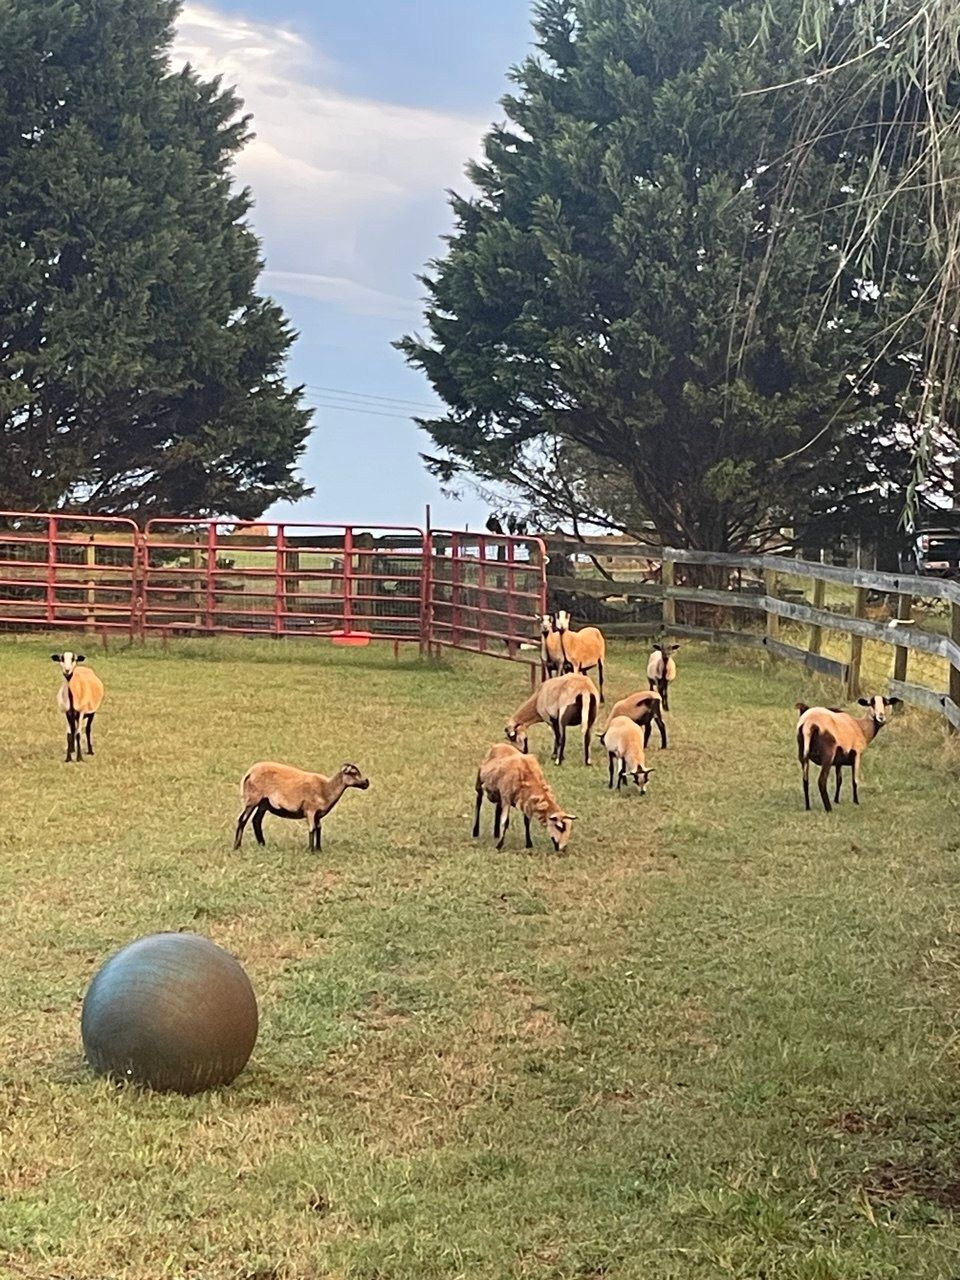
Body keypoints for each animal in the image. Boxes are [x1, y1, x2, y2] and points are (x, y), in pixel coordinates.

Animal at [234, 760, 370, 852]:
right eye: (353, 773)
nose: (366, 783)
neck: (327, 789)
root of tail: (249, 773)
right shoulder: (310, 810)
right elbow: (312, 829)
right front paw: (311, 850)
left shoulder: (317, 814)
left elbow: (319, 828)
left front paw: (319, 849)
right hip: (253, 799)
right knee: (242, 820)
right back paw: (237, 846)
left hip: (264, 803)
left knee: (256, 821)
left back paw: (262, 845)